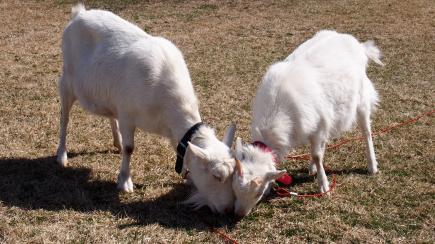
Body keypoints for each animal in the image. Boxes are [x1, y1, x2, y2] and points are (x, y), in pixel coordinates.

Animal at [57, 3, 238, 214]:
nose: (228, 209)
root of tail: (79, 14)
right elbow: (130, 148)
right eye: (217, 176)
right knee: (64, 119)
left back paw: (116, 143)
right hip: (67, 82)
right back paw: (62, 155)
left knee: (110, 116)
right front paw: (125, 182)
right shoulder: (127, 115)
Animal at [233, 30, 384, 215]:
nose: (238, 214)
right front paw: (315, 171)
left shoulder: (318, 126)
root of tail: (358, 45)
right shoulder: (317, 125)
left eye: (257, 193)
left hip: (361, 100)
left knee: (366, 132)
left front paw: (324, 186)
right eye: (234, 188)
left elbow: (317, 155)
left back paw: (372, 166)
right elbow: (317, 152)